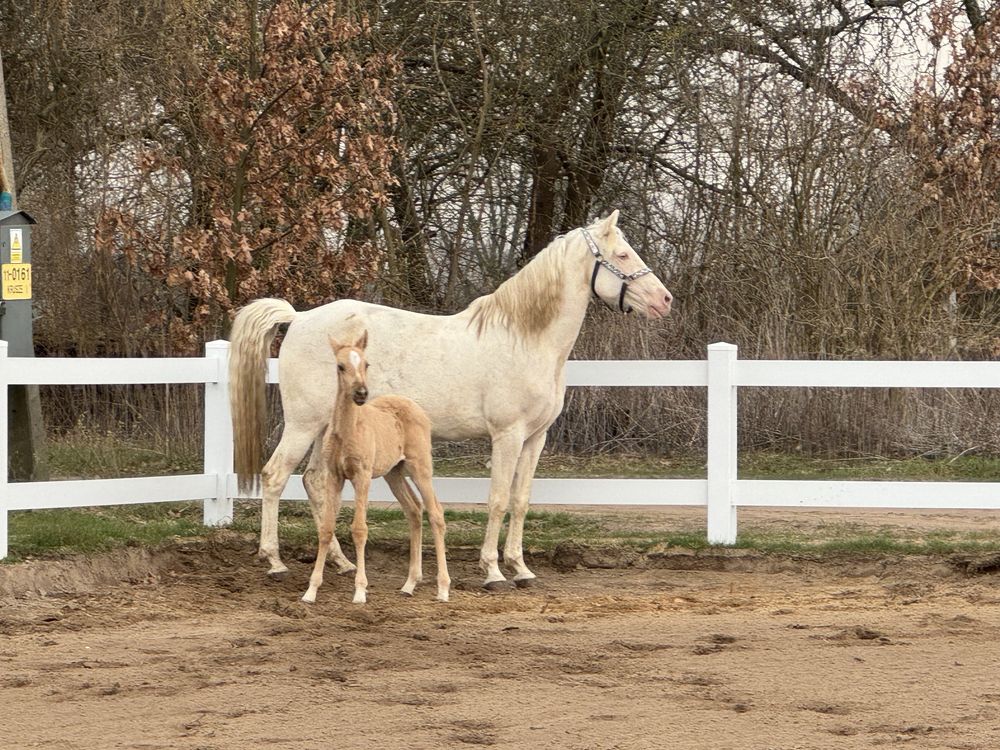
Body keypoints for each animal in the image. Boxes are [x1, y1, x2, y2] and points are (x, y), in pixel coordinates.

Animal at [300, 332, 450, 608]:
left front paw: (360, 591)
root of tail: (416, 407)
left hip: (420, 467)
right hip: (395, 472)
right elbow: (326, 529)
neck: (348, 431)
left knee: (436, 512)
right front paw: (311, 591)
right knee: (414, 510)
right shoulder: (334, 477)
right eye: (340, 366)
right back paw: (409, 584)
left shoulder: (362, 476)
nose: (361, 393)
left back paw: (443, 588)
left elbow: (359, 529)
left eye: (366, 364)